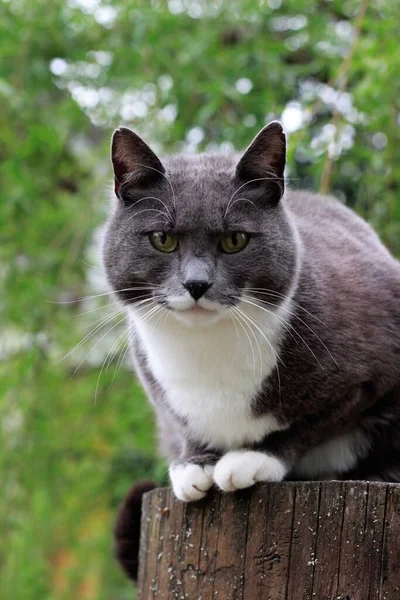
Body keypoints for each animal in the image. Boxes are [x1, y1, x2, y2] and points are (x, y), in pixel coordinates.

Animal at [104, 120, 400, 506]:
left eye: (235, 240)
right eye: (162, 239)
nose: (196, 283)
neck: (206, 349)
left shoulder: (368, 378)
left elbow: (312, 424)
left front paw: (253, 458)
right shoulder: (159, 388)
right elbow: (184, 424)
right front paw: (193, 465)